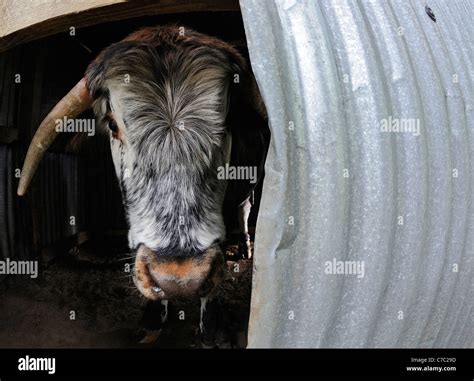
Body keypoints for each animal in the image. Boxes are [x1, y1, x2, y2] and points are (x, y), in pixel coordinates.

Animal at [17, 24, 270, 344]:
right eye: (112, 124)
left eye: (226, 127)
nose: (179, 280)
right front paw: (152, 321)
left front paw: (210, 328)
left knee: (244, 209)